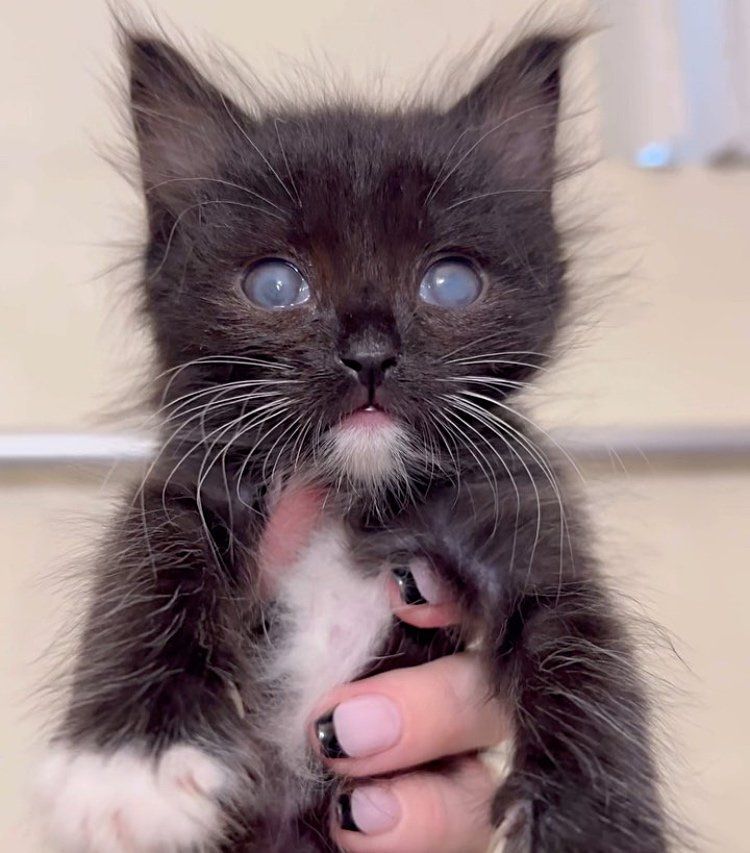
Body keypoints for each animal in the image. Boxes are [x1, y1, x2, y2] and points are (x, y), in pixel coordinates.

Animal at [36, 25, 668, 852]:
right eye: (275, 285)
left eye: (450, 283)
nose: (369, 353)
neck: (350, 490)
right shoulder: (187, 482)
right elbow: (145, 571)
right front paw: (128, 765)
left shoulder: (527, 513)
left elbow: (585, 649)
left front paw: (595, 823)